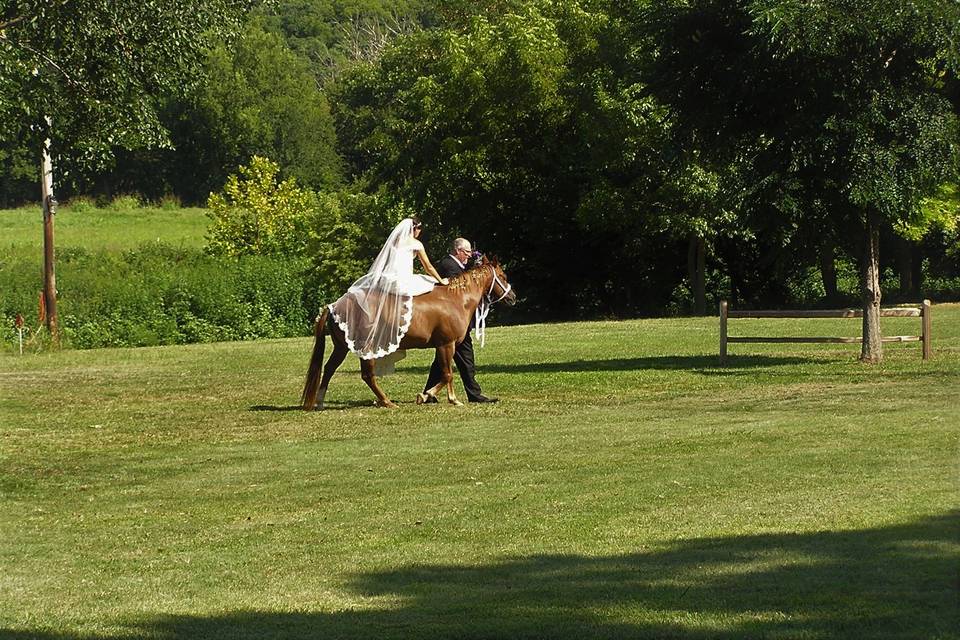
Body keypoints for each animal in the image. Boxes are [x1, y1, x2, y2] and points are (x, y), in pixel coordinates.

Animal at [304, 255, 516, 410]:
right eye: (503, 276)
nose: (513, 297)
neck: (456, 299)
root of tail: (334, 305)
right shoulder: (446, 344)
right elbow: (447, 374)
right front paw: (443, 397)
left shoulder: (445, 346)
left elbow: (444, 372)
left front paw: (430, 395)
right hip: (367, 348)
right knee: (367, 375)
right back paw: (386, 401)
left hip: (341, 348)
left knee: (329, 369)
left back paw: (320, 401)